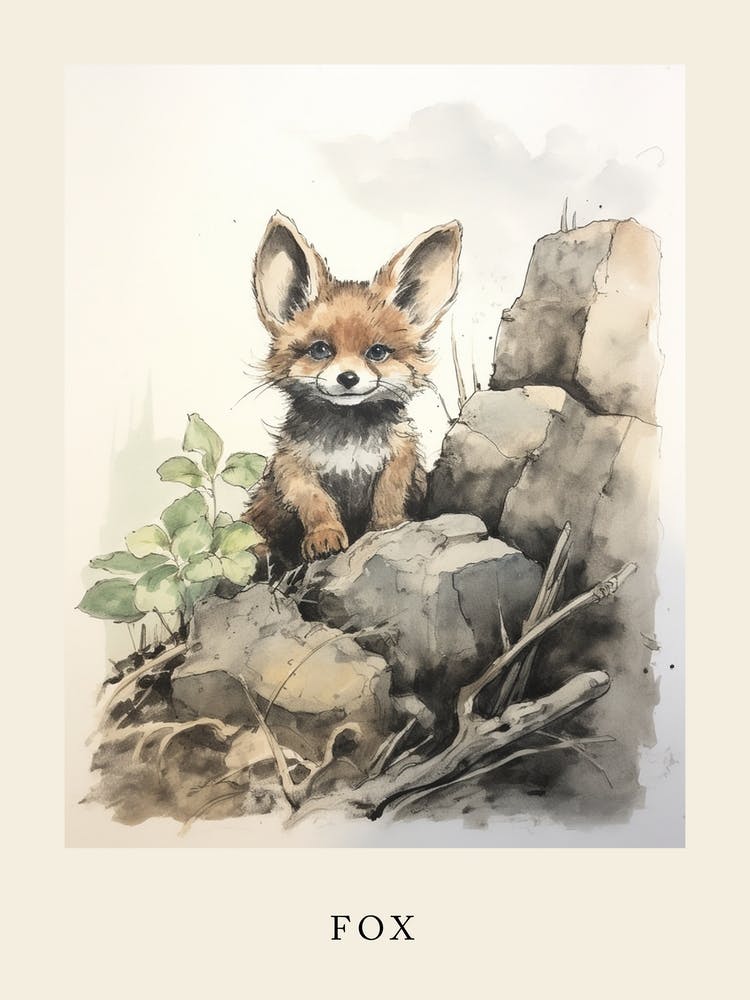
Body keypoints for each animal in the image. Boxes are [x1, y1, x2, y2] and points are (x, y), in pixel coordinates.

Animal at [242, 212, 462, 572]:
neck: (348, 444)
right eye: (320, 350)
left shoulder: (399, 459)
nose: (348, 378)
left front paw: (387, 527)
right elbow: (315, 502)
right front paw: (324, 536)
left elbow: (388, 495)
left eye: (377, 352)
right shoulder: (292, 467)